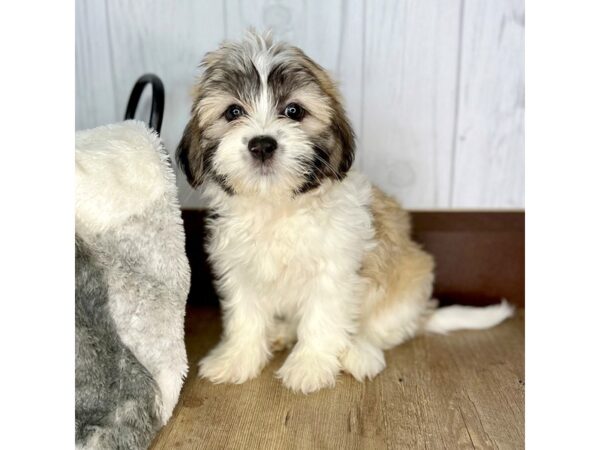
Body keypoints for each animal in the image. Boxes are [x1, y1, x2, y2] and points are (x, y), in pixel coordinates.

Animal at [176, 31, 512, 392]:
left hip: (407, 281)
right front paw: (237, 358)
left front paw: (309, 366)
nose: (262, 144)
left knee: (379, 329)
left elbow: (322, 319)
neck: (278, 205)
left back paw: (358, 351)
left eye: (293, 110)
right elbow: (246, 317)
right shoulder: (240, 269)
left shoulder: (334, 269)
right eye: (233, 112)